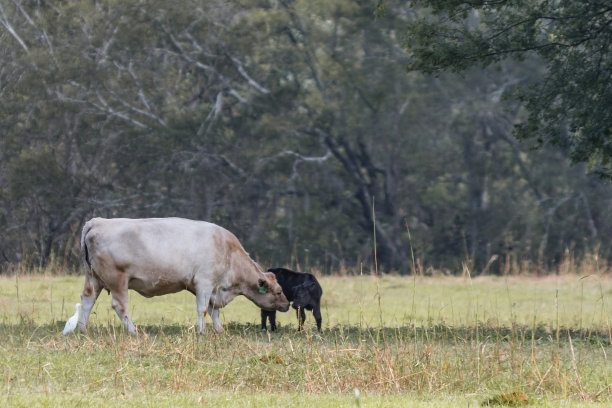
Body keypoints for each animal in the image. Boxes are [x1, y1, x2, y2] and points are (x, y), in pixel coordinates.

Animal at [73, 217, 290, 334]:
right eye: (279, 292)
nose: (287, 304)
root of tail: (98, 221)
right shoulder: (205, 282)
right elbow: (203, 309)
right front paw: (201, 331)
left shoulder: (213, 288)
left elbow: (214, 310)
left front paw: (219, 330)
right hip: (117, 280)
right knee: (120, 306)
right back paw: (133, 331)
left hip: (93, 278)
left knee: (87, 299)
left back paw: (83, 329)